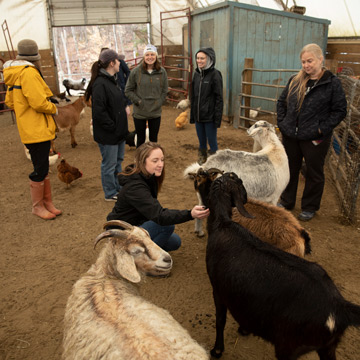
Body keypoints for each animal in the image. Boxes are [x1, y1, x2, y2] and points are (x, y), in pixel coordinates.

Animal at [205, 173, 360, 358]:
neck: (223, 223)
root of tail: (339, 308)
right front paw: (244, 330)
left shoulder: (218, 289)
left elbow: (220, 320)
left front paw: (217, 350)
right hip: (326, 346)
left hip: (289, 345)